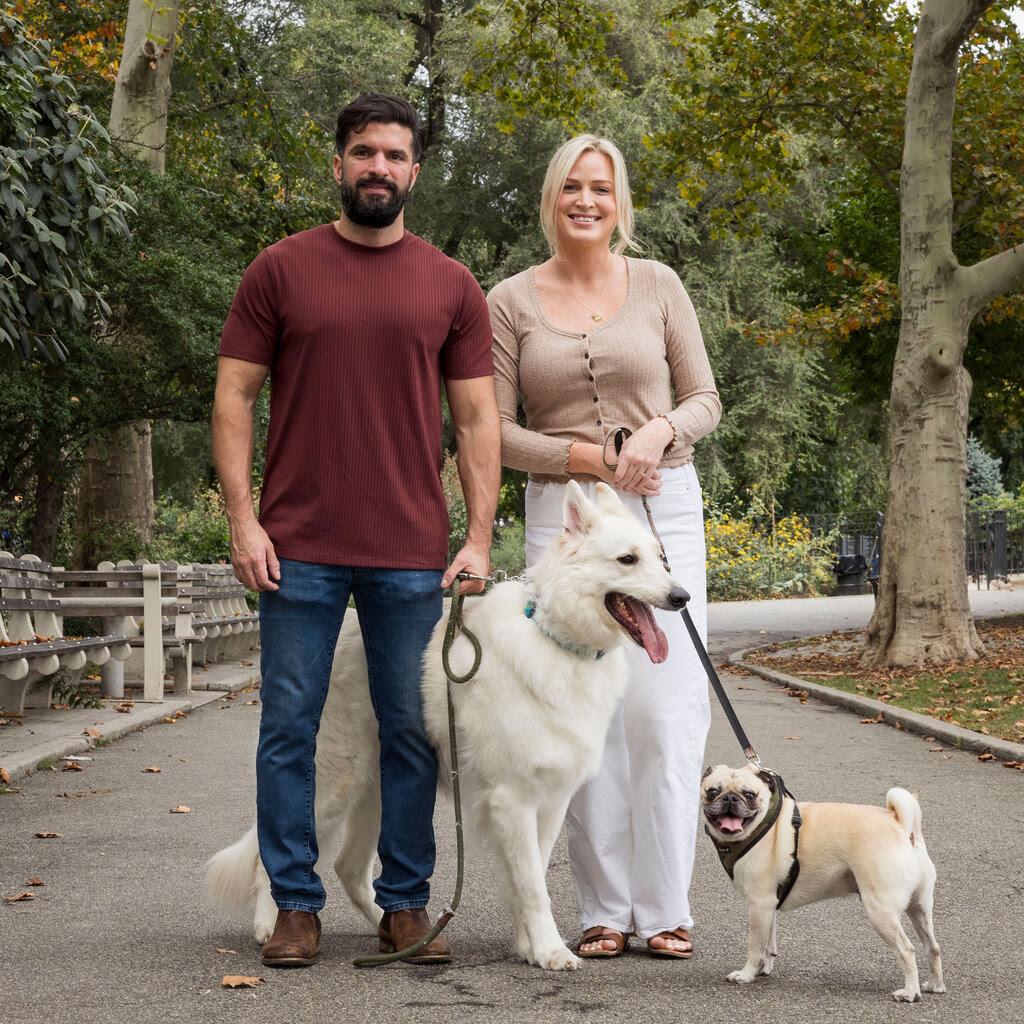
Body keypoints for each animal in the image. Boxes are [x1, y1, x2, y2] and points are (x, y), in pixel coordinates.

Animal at [205, 479, 688, 966]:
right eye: (627, 560)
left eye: (661, 559)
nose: (681, 598)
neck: (555, 636)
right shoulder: (512, 800)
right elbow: (534, 888)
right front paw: (550, 950)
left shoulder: (550, 802)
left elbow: (527, 881)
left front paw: (527, 946)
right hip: (332, 787)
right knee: (273, 857)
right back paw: (275, 928)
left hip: (381, 790)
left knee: (349, 869)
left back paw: (397, 934)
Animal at [704, 765, 942, 1003]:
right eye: (712, 792)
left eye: (749, 795)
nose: (730, 798)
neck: (763, 823)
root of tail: (904, 827)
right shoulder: (767, 905)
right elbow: (768, 944)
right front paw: (764, 968)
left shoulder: (759, 903)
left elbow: (754, 945)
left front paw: (746, 974)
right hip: (919, 909)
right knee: (932, 947)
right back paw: (934, 986)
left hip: (880, 911)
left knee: (907, 950)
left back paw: (910, 993)